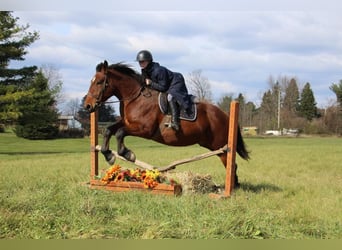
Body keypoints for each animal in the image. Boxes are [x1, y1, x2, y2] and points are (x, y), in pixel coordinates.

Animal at [83, 60, 248, 186]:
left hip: (221, 147)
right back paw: (234, 185)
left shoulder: (144, 129)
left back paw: (232, 187)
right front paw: (109, 155)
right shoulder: (127, 123)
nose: (87, 106)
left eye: (99, 82)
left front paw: (128, 154)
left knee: (231, 164)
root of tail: (226, 115)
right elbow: (109, 130)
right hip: (212, 145)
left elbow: (120, 133)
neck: (135, 97)